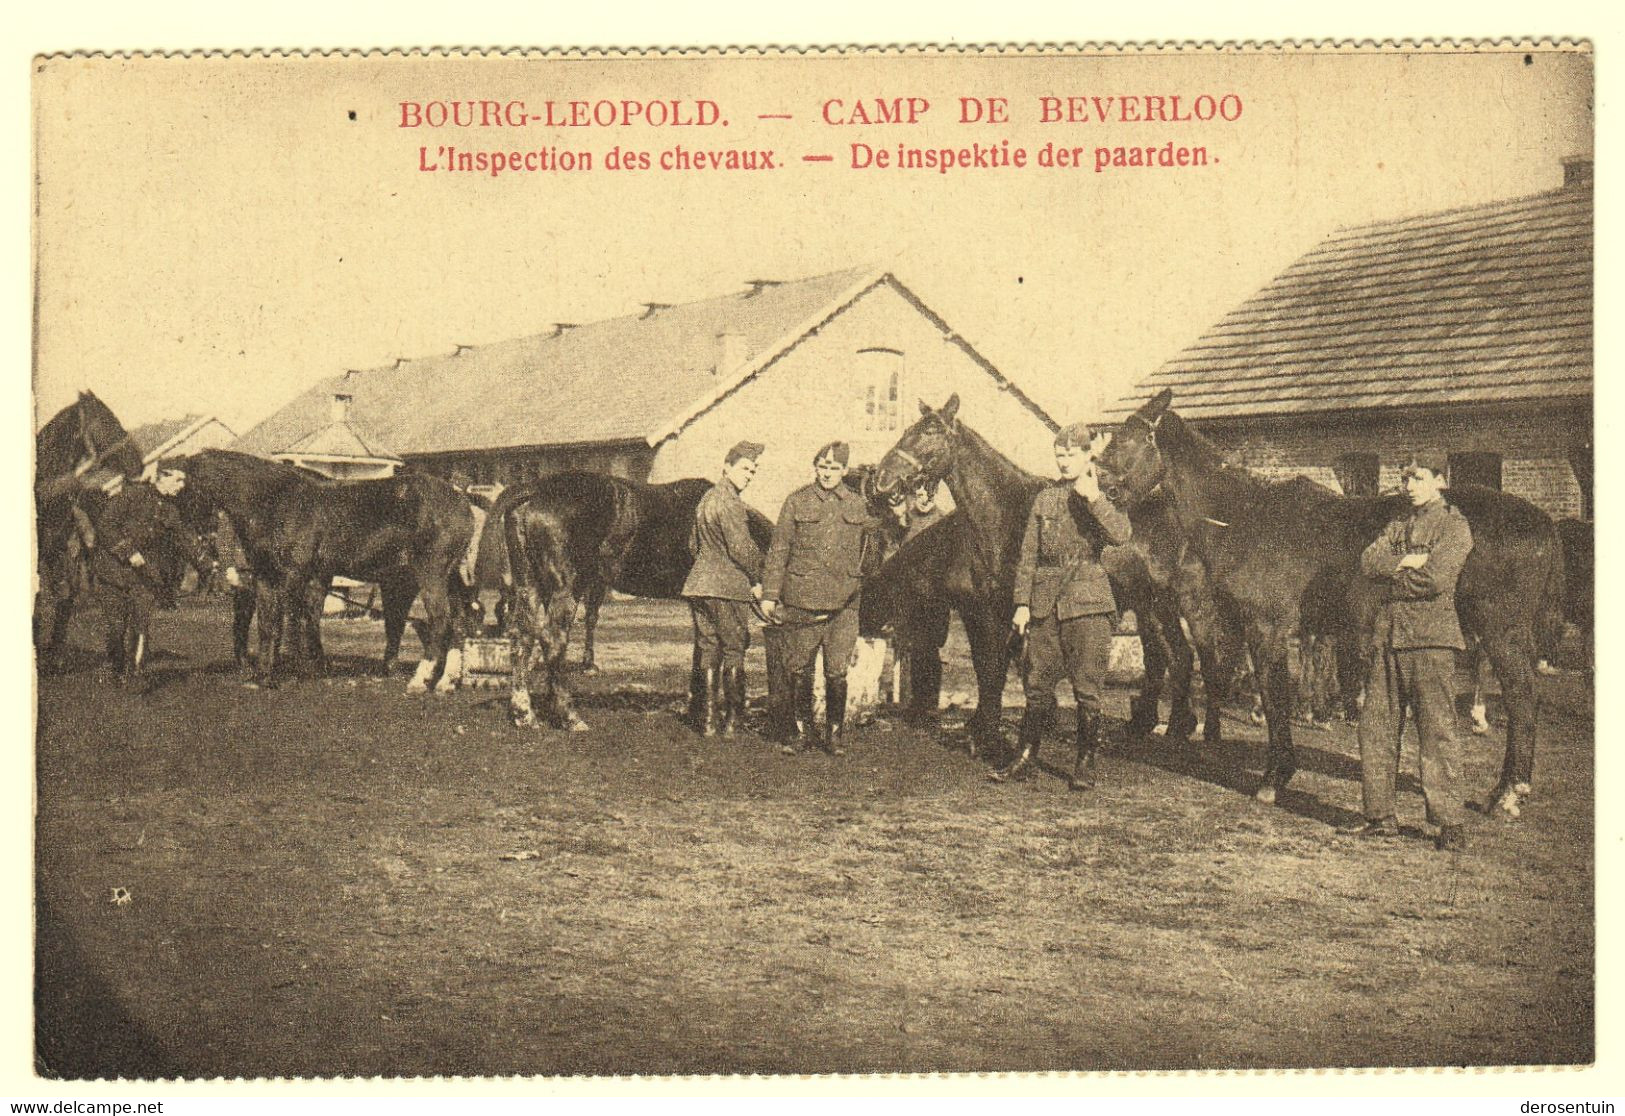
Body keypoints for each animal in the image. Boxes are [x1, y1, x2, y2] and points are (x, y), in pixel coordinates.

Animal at [173, 448, 474, 695]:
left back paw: (419, 681)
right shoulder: (266, 578)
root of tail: (463, 503)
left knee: (440, 620)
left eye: (185, 491)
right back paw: (447, 682)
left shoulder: (294, 576)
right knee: (459, 621)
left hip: (431, 574)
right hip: (450, 577)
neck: (278, 502)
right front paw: (265, 676)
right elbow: (269, 625)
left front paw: (293, 671)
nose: (197, 543)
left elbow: (292, 624)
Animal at [474, 471, 776, 734]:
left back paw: (524, 714)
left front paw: (695, 708)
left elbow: (700, 650)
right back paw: (569, 716)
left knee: (522, 638)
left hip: (530, 587)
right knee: (552, 640)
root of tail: (535, 490)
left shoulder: (697, 602)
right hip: (566, 589)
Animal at [864, 394, 1222, 766]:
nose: (882, 481)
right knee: (1177, 657)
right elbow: (988, 670)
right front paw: (984, 731)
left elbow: (997, 670)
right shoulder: (981, 613)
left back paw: (1207, 732)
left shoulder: (1001, 614)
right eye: (907, 429)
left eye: (931, 431)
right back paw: (1168, 728)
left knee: (1208, 659)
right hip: (1153, 607)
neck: (1002, 514)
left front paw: (990, 737)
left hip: (1193, 602)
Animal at [1098, 388, 1566, 815]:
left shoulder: (1266, 627)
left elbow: (1274, 695)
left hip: (1500, 630)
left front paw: (1274, 778)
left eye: (1124, 440)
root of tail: (1543, 524)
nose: (1102, 490)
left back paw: (1507, 793)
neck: (1245, 517)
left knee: (1522, 697)